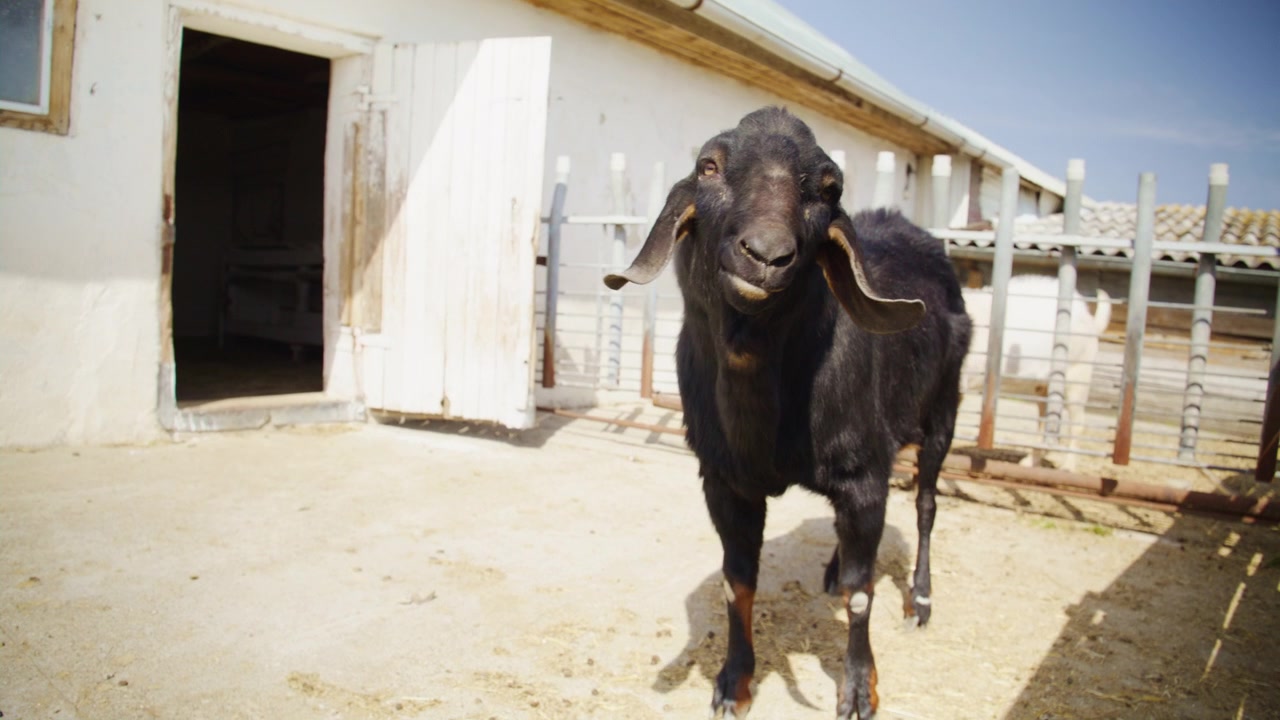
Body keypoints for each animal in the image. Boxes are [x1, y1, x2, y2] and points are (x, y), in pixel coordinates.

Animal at [604, 107, 972, 719]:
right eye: (709, 166)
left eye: (828, 189)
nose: (767, 255)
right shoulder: (724, 481)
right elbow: (737, 582)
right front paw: (734, 683)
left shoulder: (862, 474)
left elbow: (861, 594)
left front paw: (858, 689)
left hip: (943, 410)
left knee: (924, 507)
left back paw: (920, 600)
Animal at [961, 275, 1111, 469]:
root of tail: (1090, 320)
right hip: (1044, 387)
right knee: (1044, 423)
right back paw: (1030, 462)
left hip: (1078, 375)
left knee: (1078, 424)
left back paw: (1068, 466)